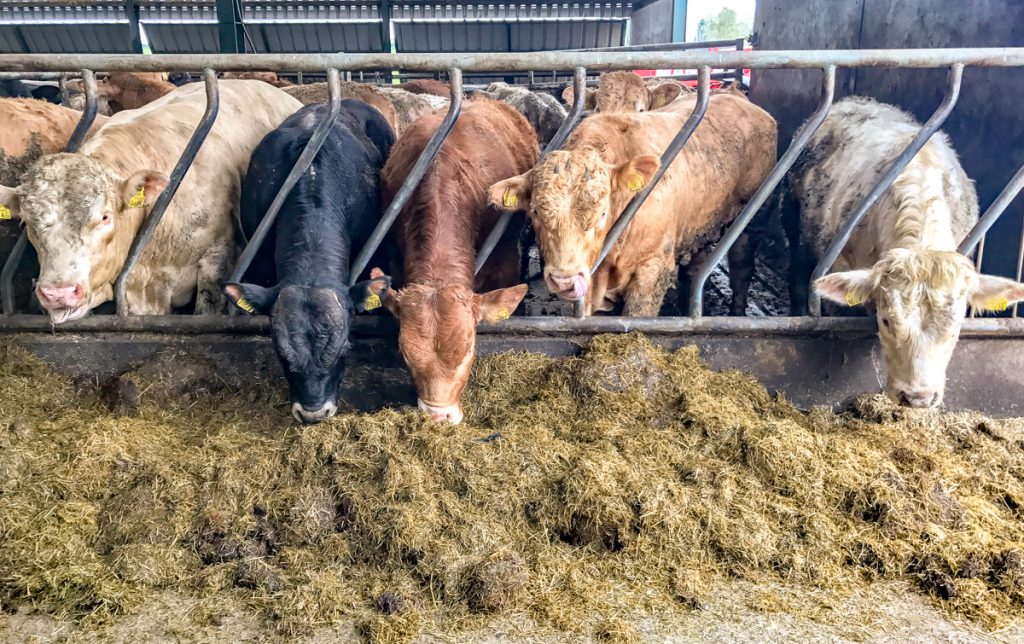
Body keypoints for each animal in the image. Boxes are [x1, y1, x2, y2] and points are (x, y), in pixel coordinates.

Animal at [488, 90, 776, 317]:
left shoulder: (652, 271)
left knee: (741, 266)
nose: (564, 280)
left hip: (753, 220)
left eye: (602, 213)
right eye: (536, 211)